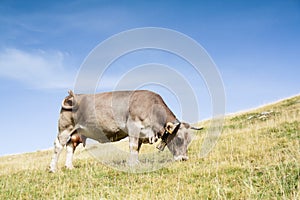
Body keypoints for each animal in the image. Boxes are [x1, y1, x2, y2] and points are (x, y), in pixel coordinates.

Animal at [49, 89, 202, 172]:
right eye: (179, 139)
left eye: (189, 140)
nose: (184, 159)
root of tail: (72, 96)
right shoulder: (133, 127)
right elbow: (133, 147)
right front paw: (133, 164)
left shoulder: (141, 134)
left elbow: (137, 149)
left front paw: (135, 163)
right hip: (65, 128)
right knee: (58, 146)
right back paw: (53, 168)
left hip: (75, 133)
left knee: (70, 147)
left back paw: (69, 167)